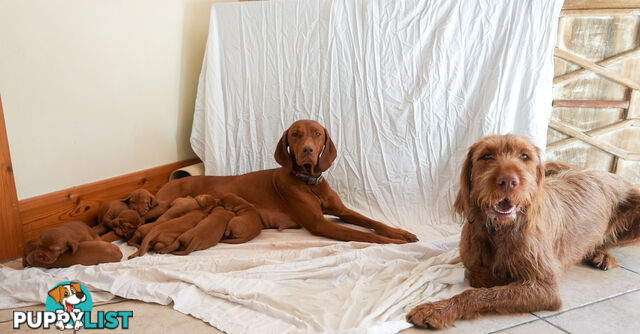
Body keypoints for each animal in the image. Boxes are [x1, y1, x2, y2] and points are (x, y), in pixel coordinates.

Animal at [144, 119, 420, 243]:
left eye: (317, 133)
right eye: (295, 134)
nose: (308, 150)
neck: (310, 182)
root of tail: (171, 181)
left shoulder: (341, 211)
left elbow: (372, 222)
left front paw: (401, 232)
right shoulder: (320, 224)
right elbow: (365, 235)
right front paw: (394, 243)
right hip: (162, 206)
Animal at [408, 134, 640, 328]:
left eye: (525, 156)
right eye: (487, 155)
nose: (508, 181)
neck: (499, 231)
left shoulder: (547, 289)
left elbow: (481, 294)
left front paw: (438, 309)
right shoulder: (473, 262)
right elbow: (478, 277)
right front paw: (500, 278)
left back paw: (602, 254)